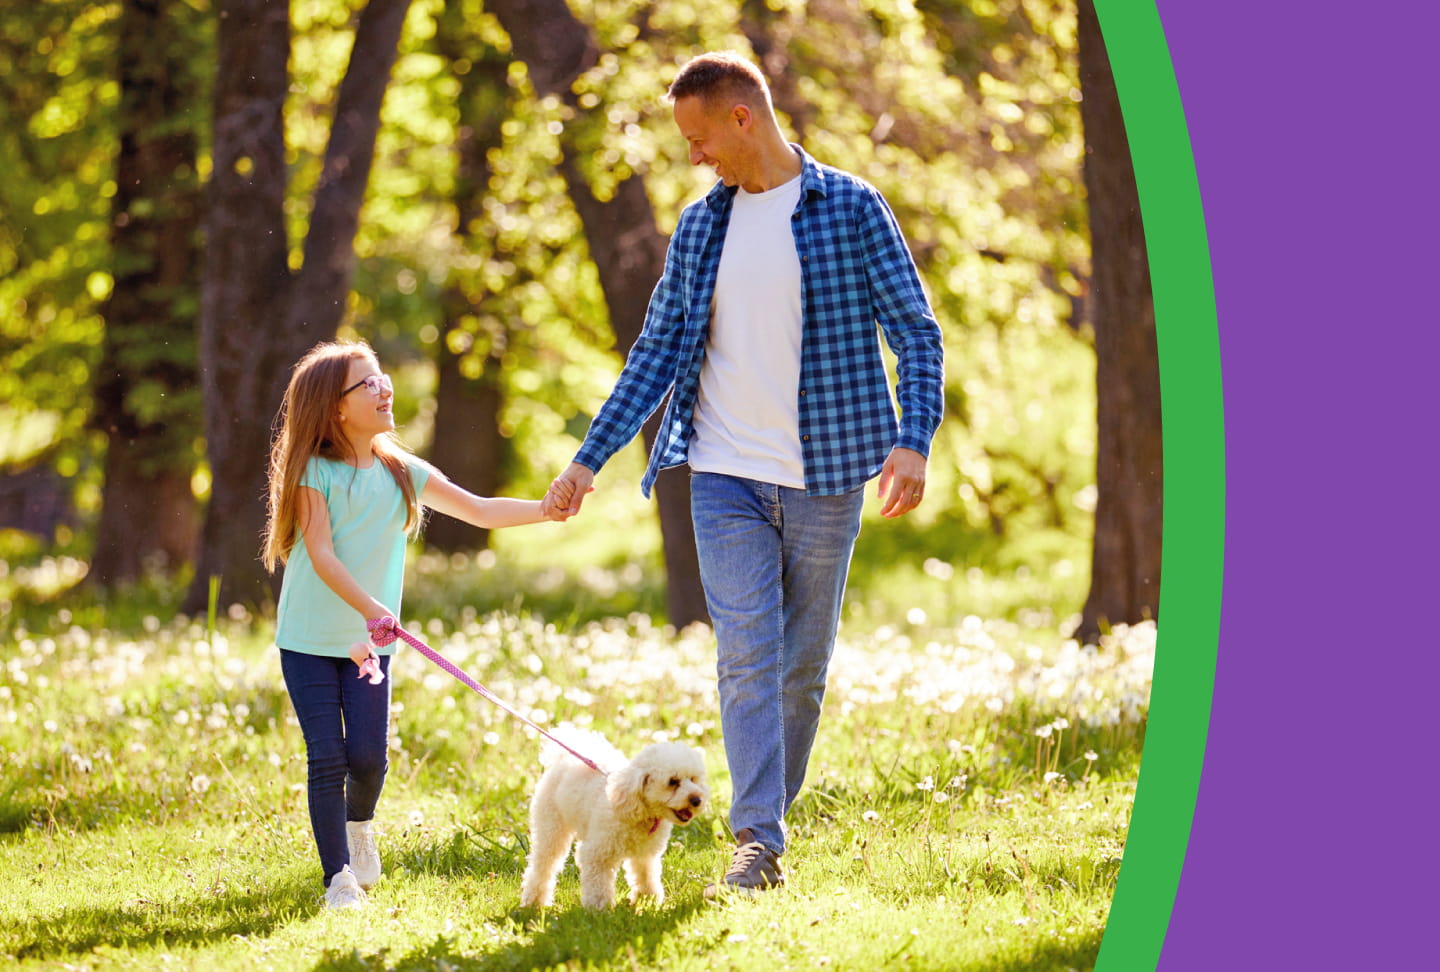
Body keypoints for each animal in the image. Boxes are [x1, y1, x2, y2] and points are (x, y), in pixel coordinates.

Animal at [524, 731, 714, 910]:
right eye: (673, 781)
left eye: (693, 779)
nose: (697, 800)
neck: (641, 814)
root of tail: (562, 758)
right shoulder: (597, 855)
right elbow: (598, 885)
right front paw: (599, 909)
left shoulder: (645, 854)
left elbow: (646, 876)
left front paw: (648, 900)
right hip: (551, 827)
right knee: (544, 864)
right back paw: (534, 901)